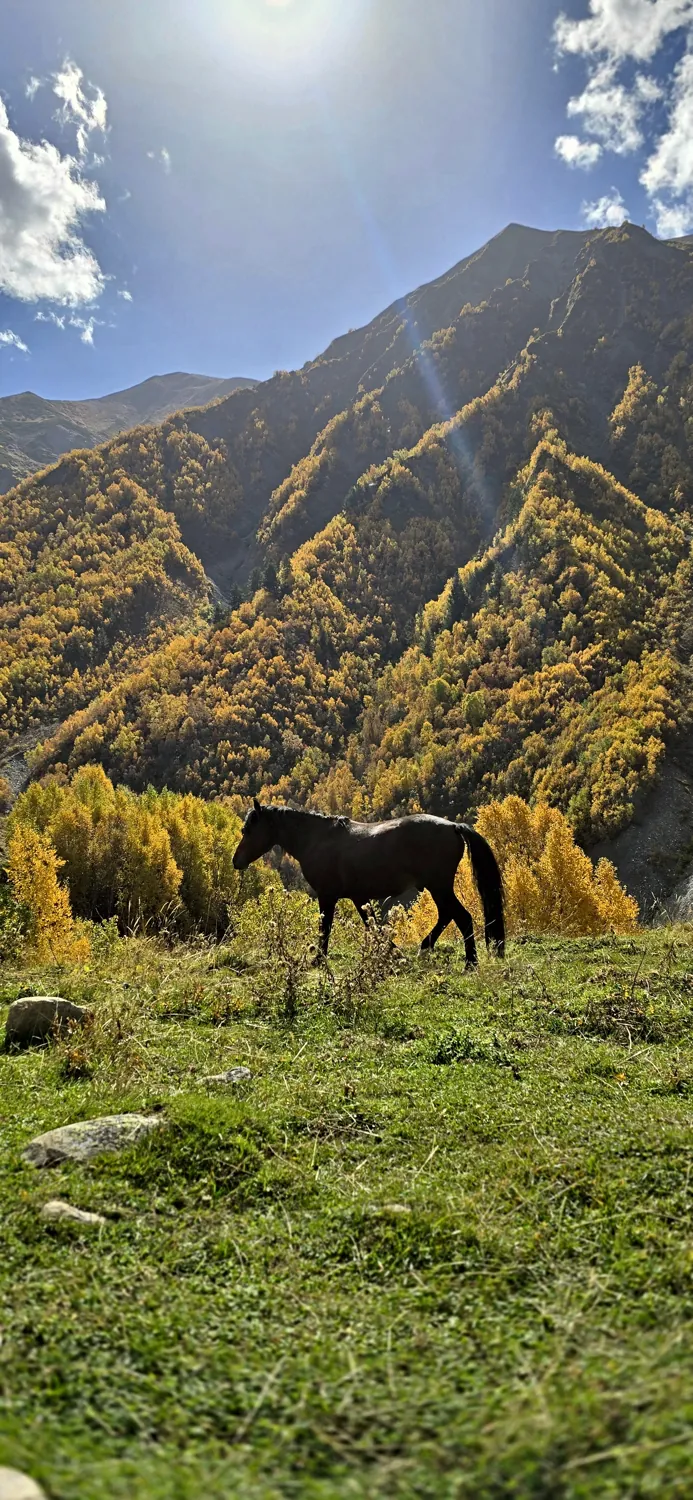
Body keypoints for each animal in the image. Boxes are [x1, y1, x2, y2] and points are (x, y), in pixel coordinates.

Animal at [232, 800, 505, 967]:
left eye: (248, 830)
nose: (236, 861)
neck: (317, 839)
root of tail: (453, 827)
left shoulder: (327, 896)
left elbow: (326, 928)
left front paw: (318, 960)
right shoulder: (358, 897)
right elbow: (372, 925)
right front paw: (392, 952)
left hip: (439, 886)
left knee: (462, 917)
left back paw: (470, 963)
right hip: (438, 888)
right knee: (448, 915)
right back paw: (426, 947)